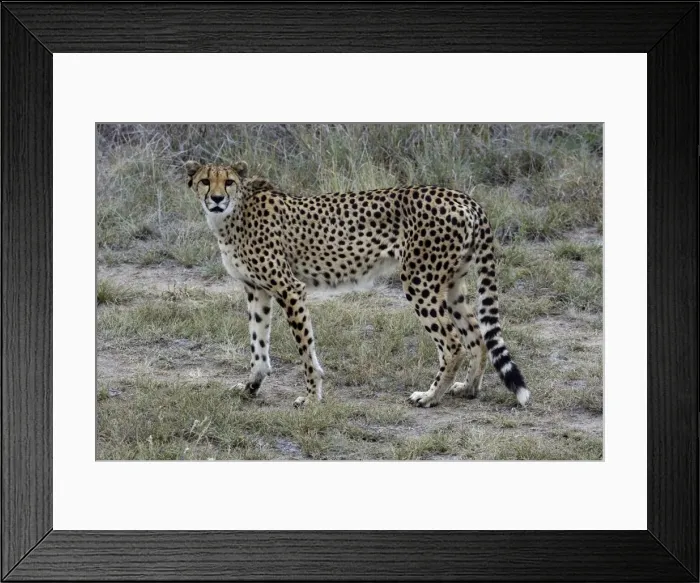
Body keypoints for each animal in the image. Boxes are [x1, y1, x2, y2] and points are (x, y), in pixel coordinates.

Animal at [185, 160, 530, 409]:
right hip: (452, 284)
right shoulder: (256, 290)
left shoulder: (289, 288)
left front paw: (311, 396)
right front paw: (250, 386)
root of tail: (462, 196)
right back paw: (467, 389)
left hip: (419, 281)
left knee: (453, 344)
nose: (217, 199)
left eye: (229, 182)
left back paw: (431, 396)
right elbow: (258, 345)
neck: (232, 214)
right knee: (477, 336)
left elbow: (305, 350)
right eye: (206, 181)